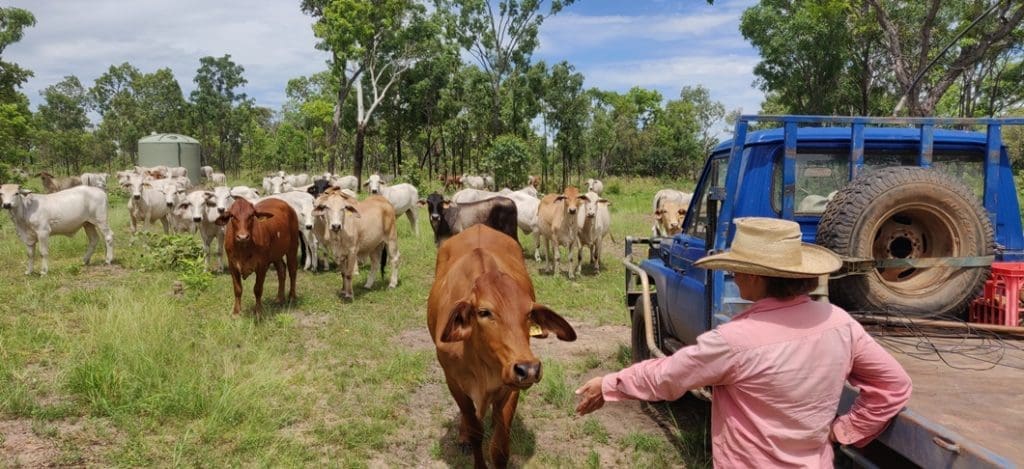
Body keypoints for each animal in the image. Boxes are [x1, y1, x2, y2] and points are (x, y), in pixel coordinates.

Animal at [425, 225, 577, 466]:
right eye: (484, 312)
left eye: (528, 313)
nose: (529, 369)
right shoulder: (454, 382)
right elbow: (475, 431)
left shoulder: (511, 387)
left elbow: (499, 447)